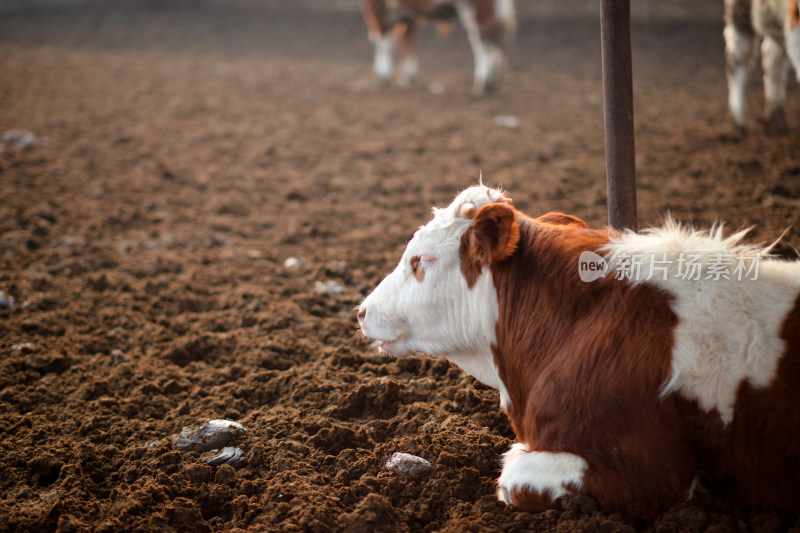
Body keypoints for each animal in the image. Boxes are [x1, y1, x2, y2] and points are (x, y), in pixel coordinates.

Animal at [358, 0, 520, 94]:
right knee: (502, 37)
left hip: (475, 9)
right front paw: (407, 76)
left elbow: (384, 42)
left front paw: (383, 76)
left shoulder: (379, 8)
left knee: (484, 40)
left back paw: (483, 83)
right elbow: (408, 40)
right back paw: (494, 81)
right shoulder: (409, 14)